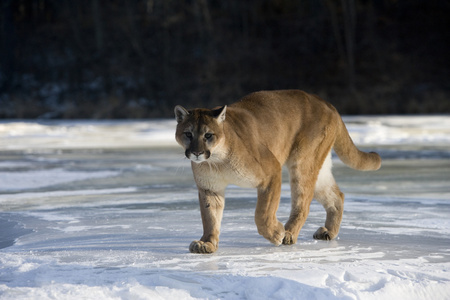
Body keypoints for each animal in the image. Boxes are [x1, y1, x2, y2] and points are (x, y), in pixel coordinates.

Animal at [173, 89, 380, 253]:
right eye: (188, 134)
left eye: (208, 135)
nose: (197, 153)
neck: (216, 160)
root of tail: (325, 102)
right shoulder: (210, 188)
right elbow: (210, 217)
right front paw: (207, 243)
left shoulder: (271, 170)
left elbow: (262, 214)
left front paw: (276, 234)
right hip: (318, 167)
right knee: (337, 195)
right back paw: (328, 231)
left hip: (302, 162)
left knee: (303, 203)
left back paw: (288, 234)